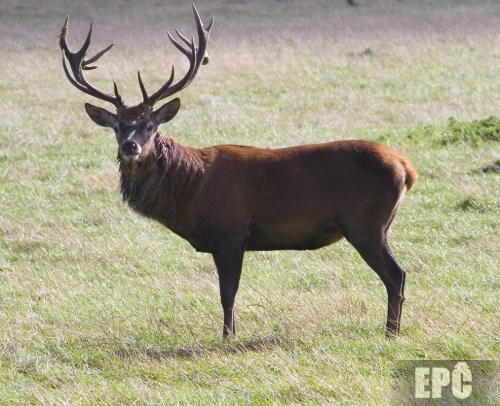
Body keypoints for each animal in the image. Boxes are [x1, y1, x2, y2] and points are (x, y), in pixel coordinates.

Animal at [59, 4, 418, 338]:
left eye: (150, 125)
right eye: (117, 126)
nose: (130, 146)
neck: (191, 191)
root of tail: (406, 167)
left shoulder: (231, 231)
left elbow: (227, 294)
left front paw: (228, 337)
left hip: (365, 222)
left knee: (396, 274)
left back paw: (391, 332)